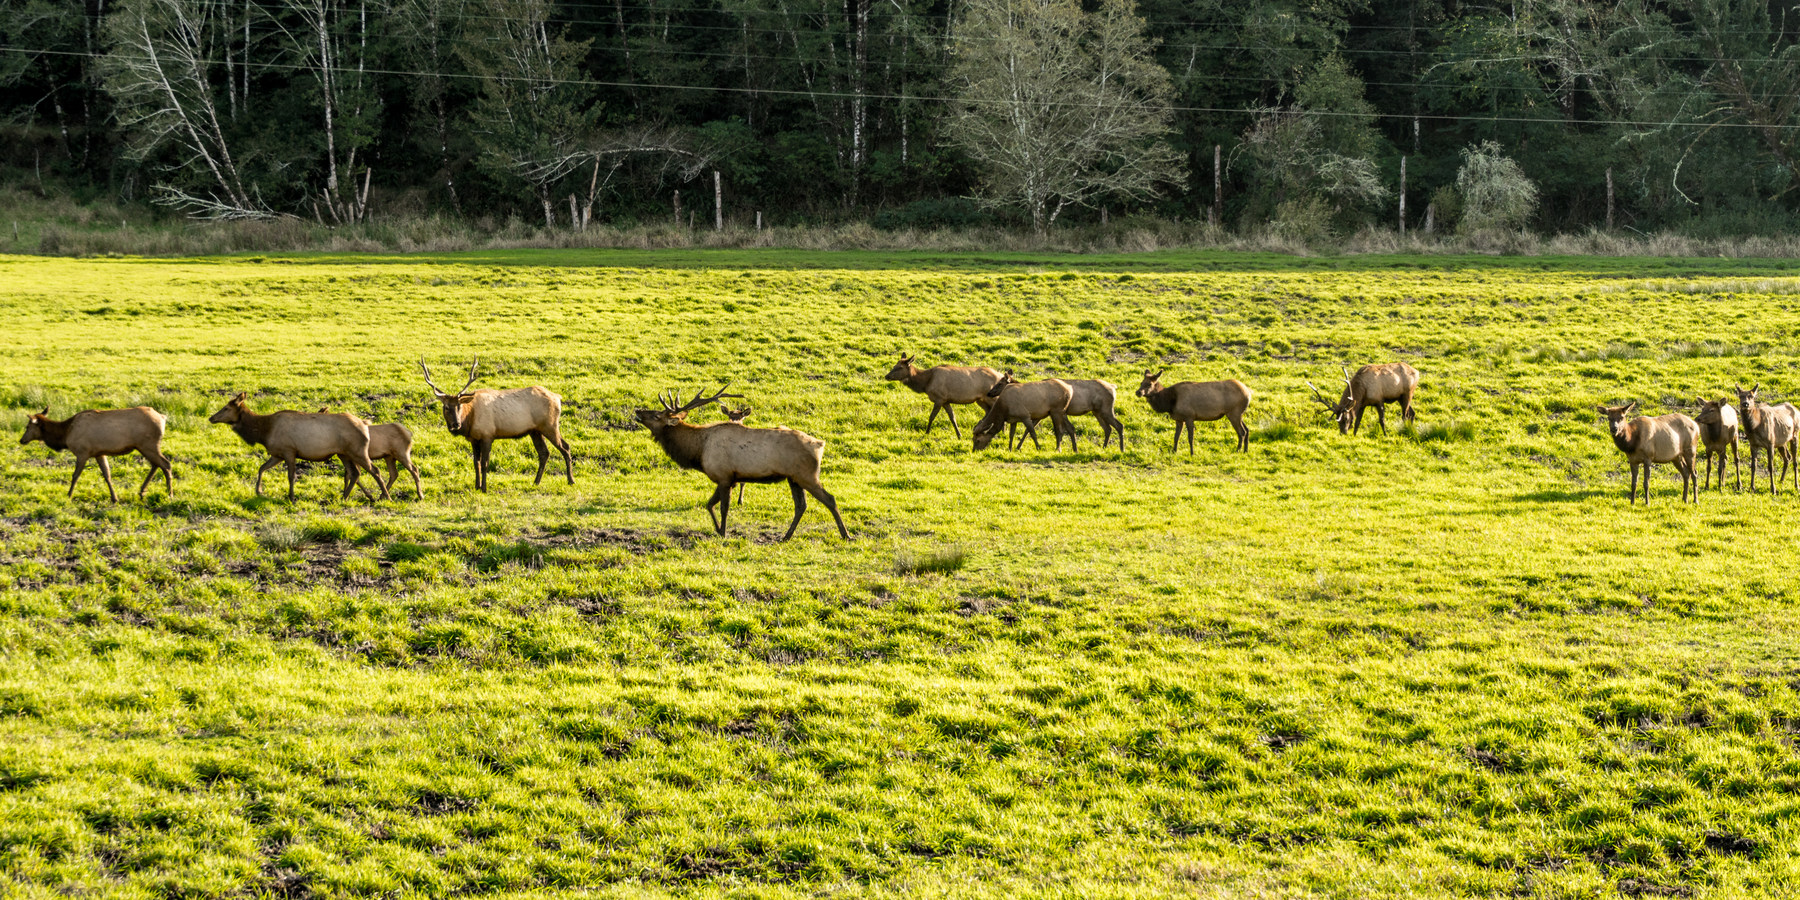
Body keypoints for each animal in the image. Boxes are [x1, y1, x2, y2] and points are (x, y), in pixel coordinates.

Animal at [18, 406, 174, 502]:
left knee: (166, 464)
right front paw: (114, 498)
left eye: (27, 426)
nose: (21, 440)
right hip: (144, 446)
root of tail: (163, 417)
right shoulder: (99, 453)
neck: (65, 434)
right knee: (156, 464)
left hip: (148, 444)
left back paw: (169, 493)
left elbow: (75, 475)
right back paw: (142, 491)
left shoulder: (82, 452)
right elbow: (107, 475)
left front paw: (69, 495)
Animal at [208, 393, 387, 500]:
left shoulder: (289, 451)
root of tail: (365, 424)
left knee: (374, 470)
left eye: (226, 408)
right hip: (343, 453)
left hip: (358, 451)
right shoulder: (277, 454)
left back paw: (385, 496)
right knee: (355, 473)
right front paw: (259, 491)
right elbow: (261, 468)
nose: (211, 418)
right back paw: (346, 496)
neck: (263, 432)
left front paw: (292, 497)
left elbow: (290, 476)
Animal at [421, 356, 573, 492]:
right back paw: (536, 482)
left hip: (550, 425)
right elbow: (475, 463)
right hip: (535, 431)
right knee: (544, 453)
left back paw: (570, 480)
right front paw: (476, 486)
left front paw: (484, 488)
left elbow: (484, 463)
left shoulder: (488, 435)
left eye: (459, 406)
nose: (456, 424)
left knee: (565, 447)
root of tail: (558, 397)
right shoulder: (474, 439)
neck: (469, 419)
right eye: (446, 407)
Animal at [635, 386, 848, 541]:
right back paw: (786, 536)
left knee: (830, 499)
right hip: (793, 478)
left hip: (807, 475)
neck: (698, 451)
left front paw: (723, 532)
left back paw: (845, 535)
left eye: (656, 415)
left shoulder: (724, 476)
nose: (638, 410)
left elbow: (723, 507)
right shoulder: (730, 479)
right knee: (801, 506)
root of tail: (820, 445)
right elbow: (709, 504)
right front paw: (718, 530)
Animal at [988, 371, 1125, 450]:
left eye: (1000, 383)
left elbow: (1029, 430)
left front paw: (1018, 447)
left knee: (1119, 425)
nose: (989, 393)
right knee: (1108, 428)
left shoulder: (1043, 414)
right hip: (1097, 412)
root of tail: (1113, 387)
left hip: (1106, 409)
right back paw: (1104, 447)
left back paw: (1121, 448)